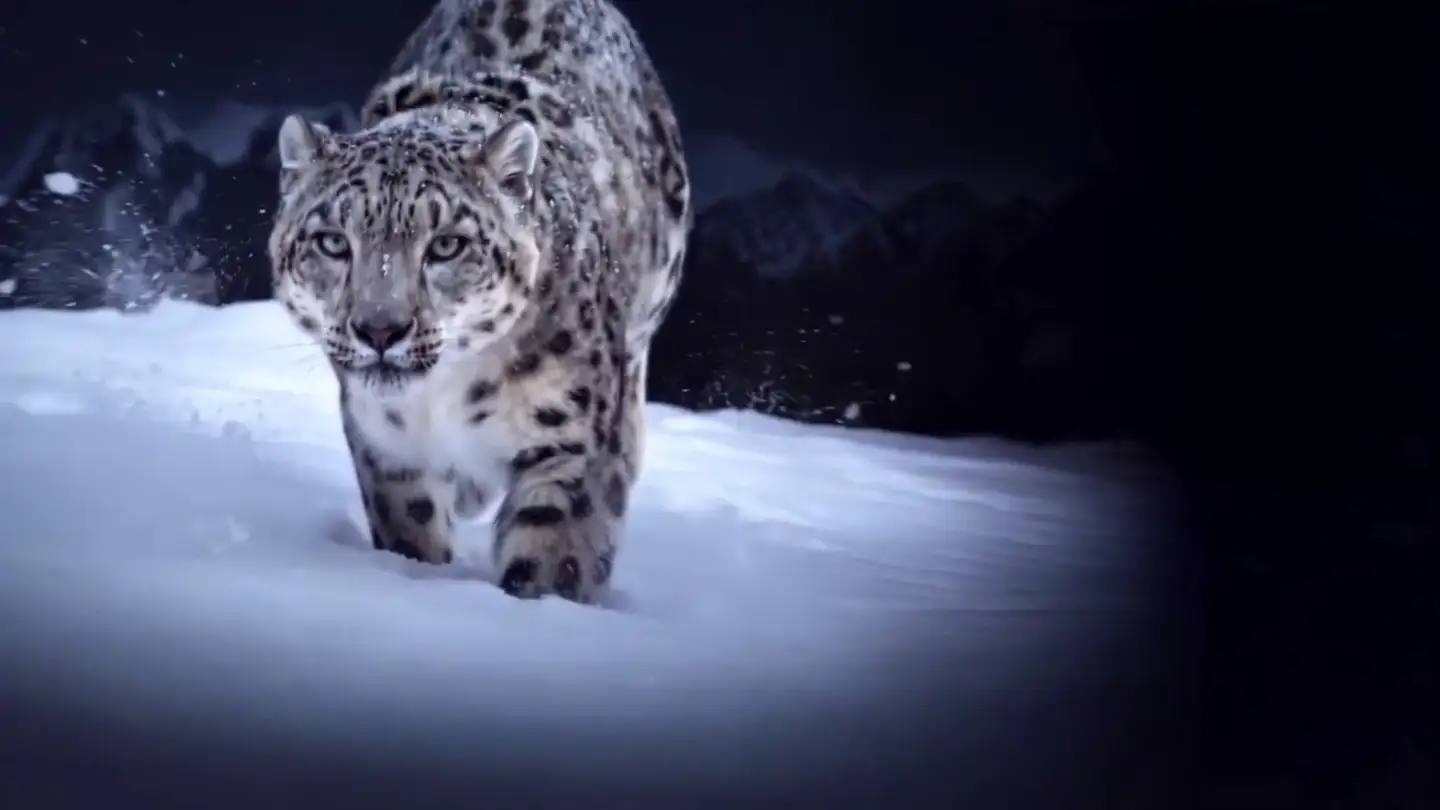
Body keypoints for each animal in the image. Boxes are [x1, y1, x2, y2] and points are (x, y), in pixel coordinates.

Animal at [267, 0, 690, 604]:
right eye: (331, 242)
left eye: (447, 245)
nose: (379, 330)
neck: (447, 395)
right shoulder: (389, 447)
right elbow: (412, 532)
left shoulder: (569, 441)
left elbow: (554, 553)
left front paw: (539, 602)